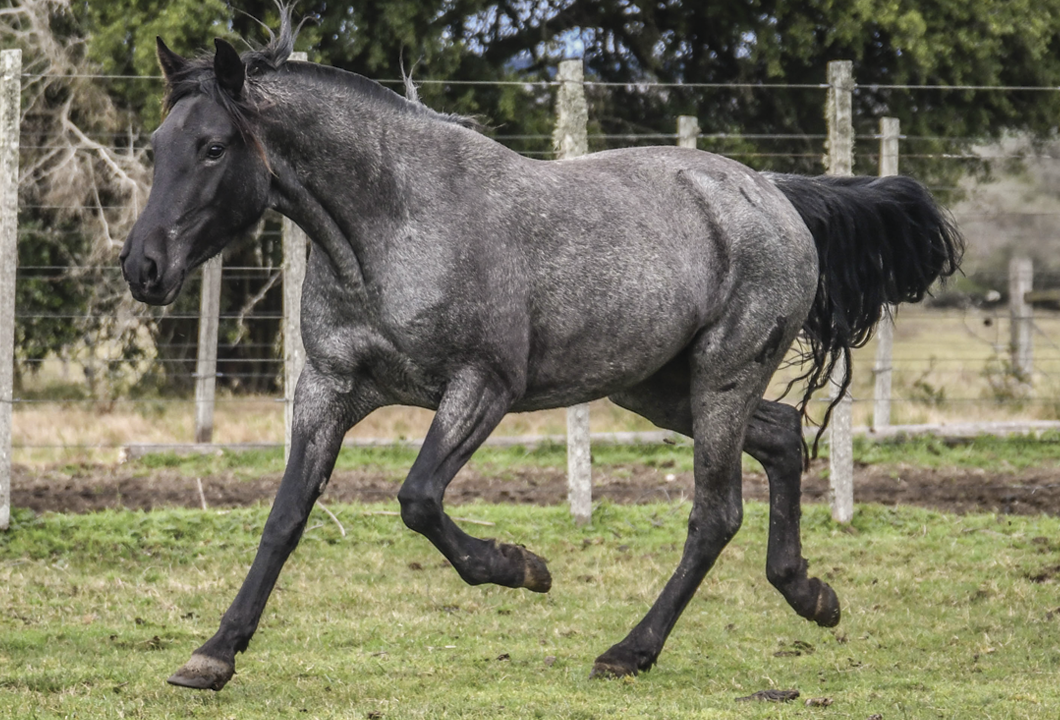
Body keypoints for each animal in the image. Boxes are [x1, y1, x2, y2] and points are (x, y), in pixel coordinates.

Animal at [116, 8, 962, 691]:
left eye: (214, 146)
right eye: (157, 145)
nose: (141, 267)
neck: (390, 225)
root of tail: (774, 192)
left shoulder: (482, 386)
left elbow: (419, 499)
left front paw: (523, 568)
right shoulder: (328, 387)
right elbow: (287, 516)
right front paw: (212, 655)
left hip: (722, 377)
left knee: (715, 511)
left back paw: (630, 651)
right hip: (658, 386)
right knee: (784, 437)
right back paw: (809, 593)